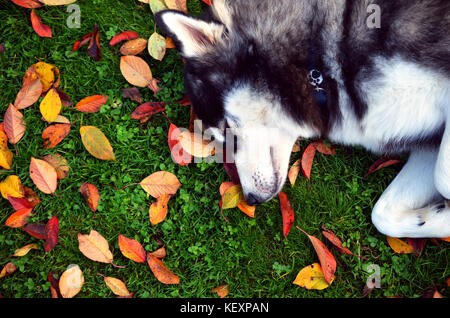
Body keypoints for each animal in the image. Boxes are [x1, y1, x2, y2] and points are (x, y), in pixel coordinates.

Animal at [155, 0, 450, 238]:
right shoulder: (425, 143)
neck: (319, 69)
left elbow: (442, 178)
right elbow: (381, 214)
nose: (250, 199)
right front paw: (437, 217)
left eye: (227, 128)